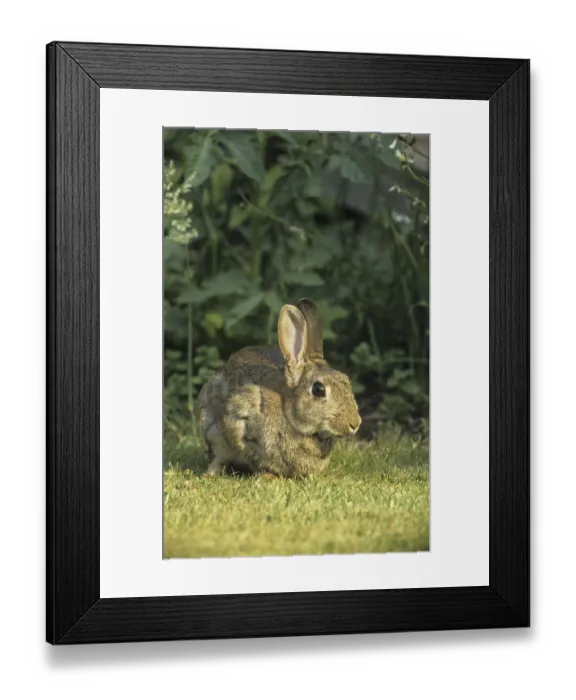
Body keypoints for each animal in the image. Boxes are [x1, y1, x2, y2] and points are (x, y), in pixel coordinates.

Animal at [195, 298, 362, 478]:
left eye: (347, 380)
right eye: (318, 390)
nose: (355, 424)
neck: (289, 415)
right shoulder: (239, 425)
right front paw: (268, 476)